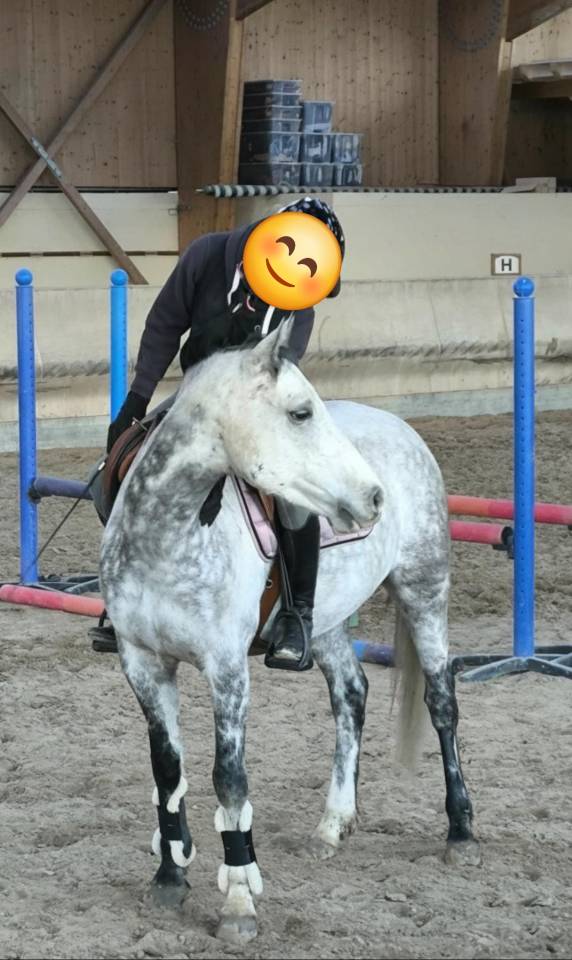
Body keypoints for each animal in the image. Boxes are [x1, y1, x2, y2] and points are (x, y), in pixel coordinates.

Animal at [99, 320, 480, 945]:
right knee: (351, 695)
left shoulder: (227, 670)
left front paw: (238, 900)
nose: (374, 496)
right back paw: (333, 824)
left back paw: (462, 832)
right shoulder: (143, 662)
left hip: (425, 590)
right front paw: (169, 877)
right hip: (326, 623)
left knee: (442, 702)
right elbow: (168, 770)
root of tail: (400, 428)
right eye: (300, 413)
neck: (169, 536)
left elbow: (228, 779)